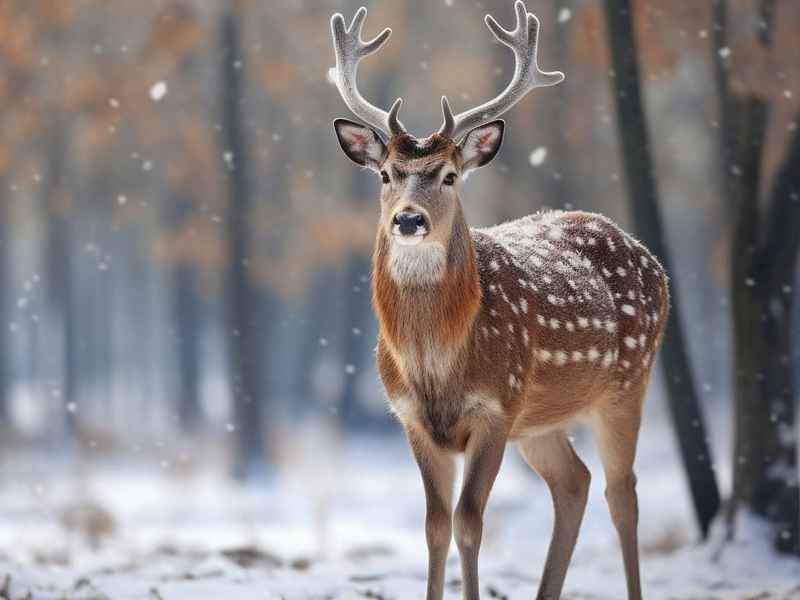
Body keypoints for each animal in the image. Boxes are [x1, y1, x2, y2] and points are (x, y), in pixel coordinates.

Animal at [329, 3, 669, 599]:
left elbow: (470, 521)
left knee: (622, 493)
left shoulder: (496, 408)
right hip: (542, 420)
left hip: (628, 383)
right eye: (387, 173)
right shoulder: (411, 418)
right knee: (575, 482)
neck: (435, 362)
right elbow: (435, 526)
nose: (409, 220)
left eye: (449, 176)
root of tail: (654, 263)